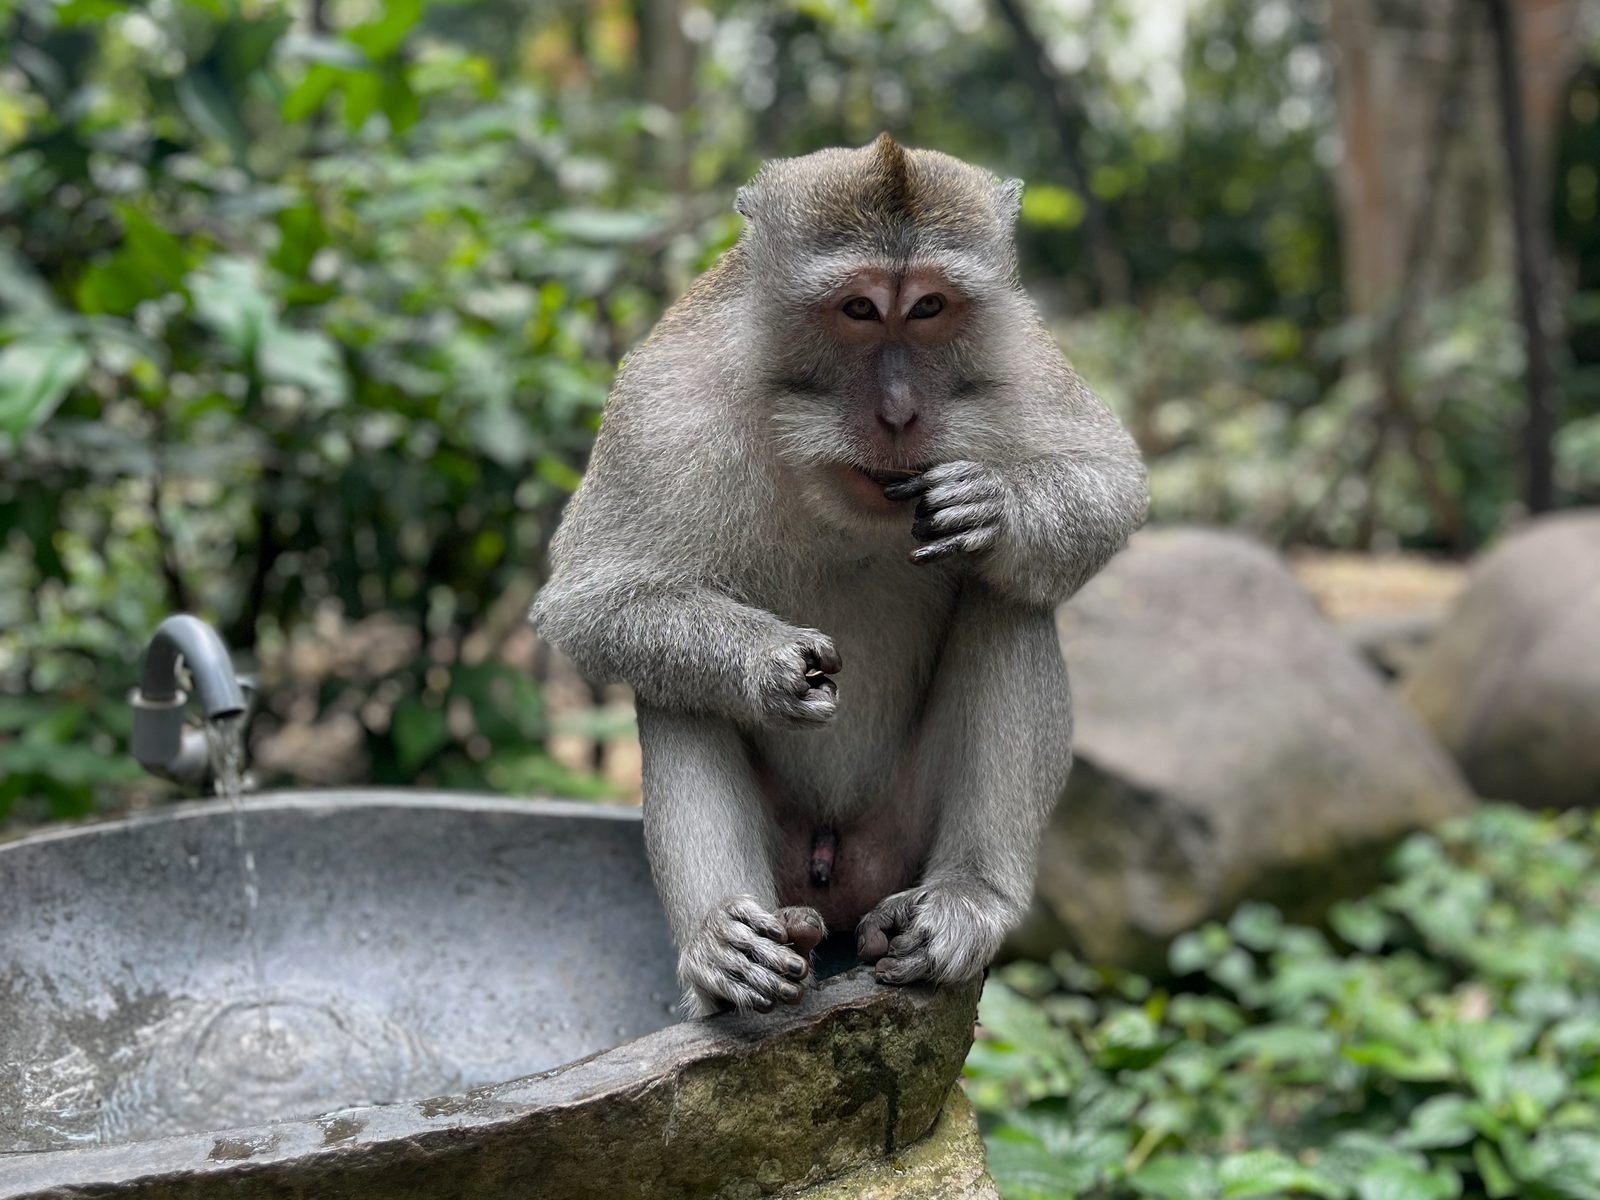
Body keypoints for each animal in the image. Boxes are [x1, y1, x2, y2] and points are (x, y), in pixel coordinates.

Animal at [530, 134, 1147, 1017]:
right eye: (857, 309)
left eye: (927, 308)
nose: (898, 414)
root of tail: (839, 870)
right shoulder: (664, 402)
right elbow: (596, 597)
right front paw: (769, 666)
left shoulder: (1017, 357)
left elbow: (1110, 480)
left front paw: (994, 507)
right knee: (672, 682)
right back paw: (726, 948)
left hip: (900, 839)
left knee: (1006, 596)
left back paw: (964, 901)